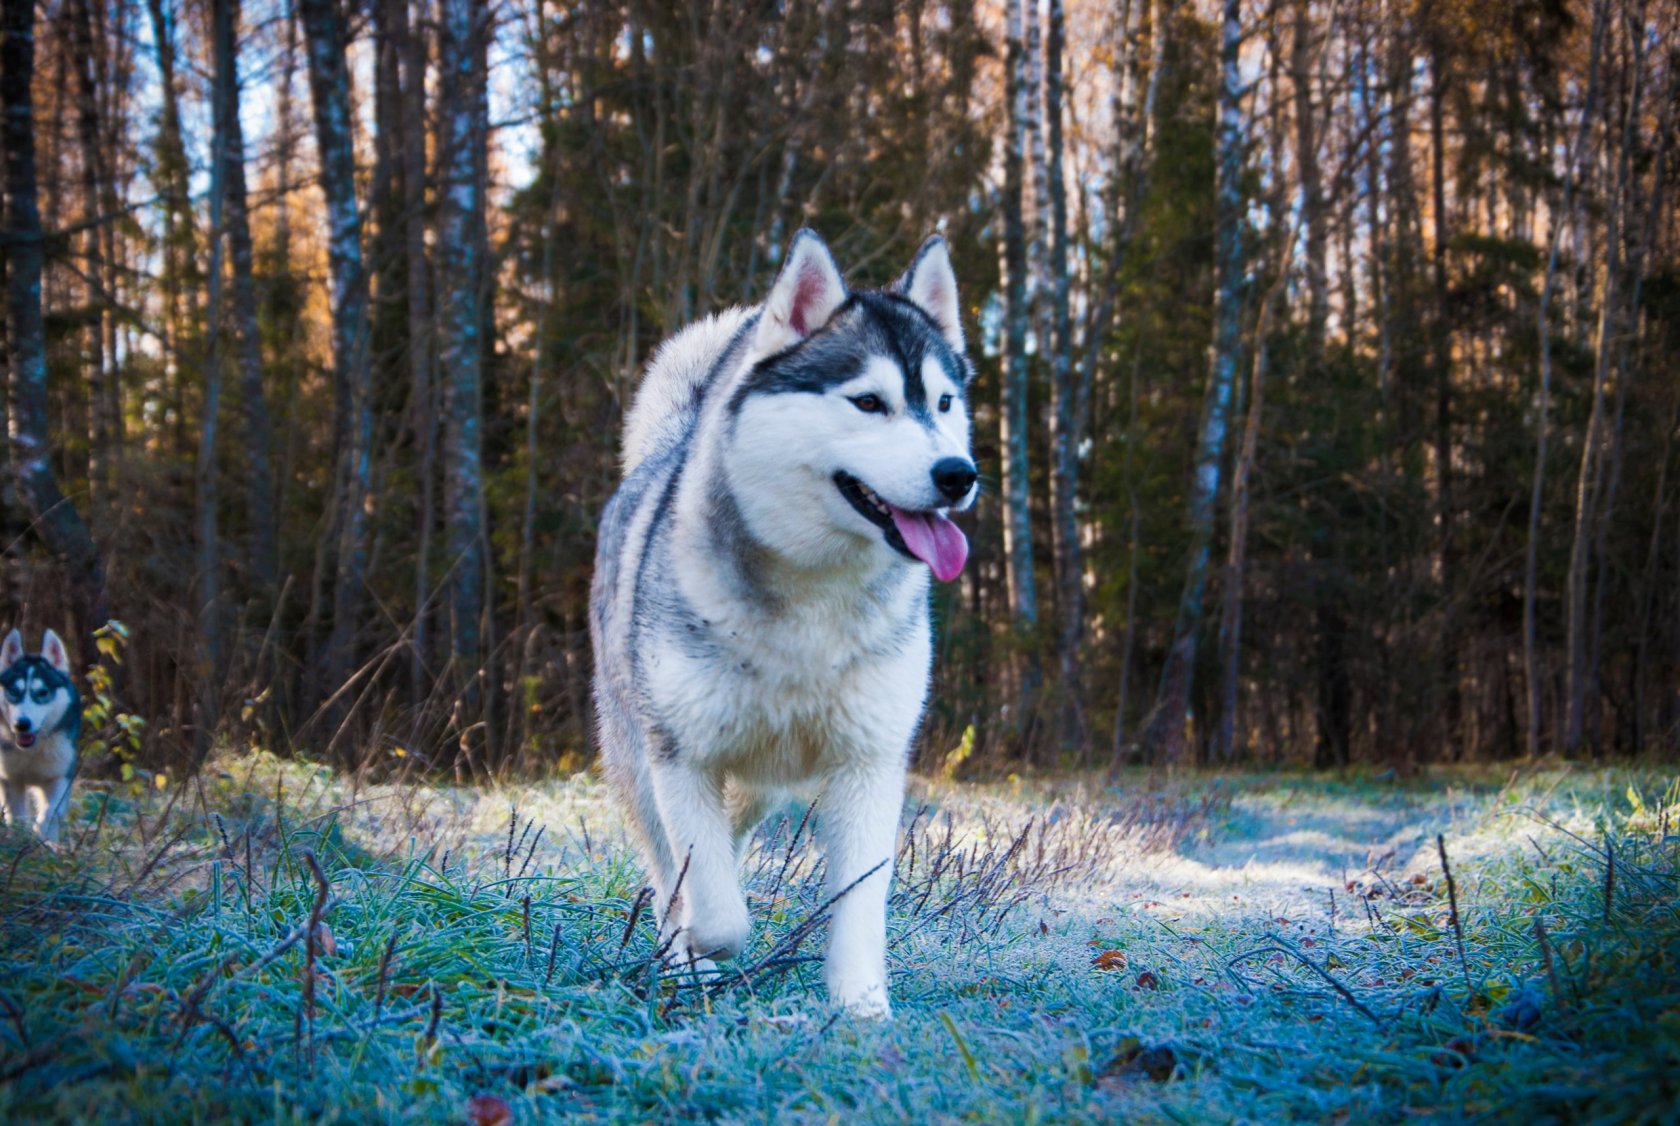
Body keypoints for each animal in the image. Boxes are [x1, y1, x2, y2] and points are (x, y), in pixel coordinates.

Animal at [0, 631, 81, 843]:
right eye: (14, 691)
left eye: (42, 692)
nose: (22, 724)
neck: (31, 751)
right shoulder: (10, 779)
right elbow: (17, 816)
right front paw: (21, 838)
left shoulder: (59, 776)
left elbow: (50, 813)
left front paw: (41, 838)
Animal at [594, 231, 981, 1021]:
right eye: (869, 402)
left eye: (944, 402)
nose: (958, 473)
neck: (814, 598)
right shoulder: (680, 758)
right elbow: (714, 911)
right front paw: (703, 959)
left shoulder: (870, 762)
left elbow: (860, 903)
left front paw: (861, 1011)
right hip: (638, 760)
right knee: (670, 867)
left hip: (759, 785)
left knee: (732, 835)